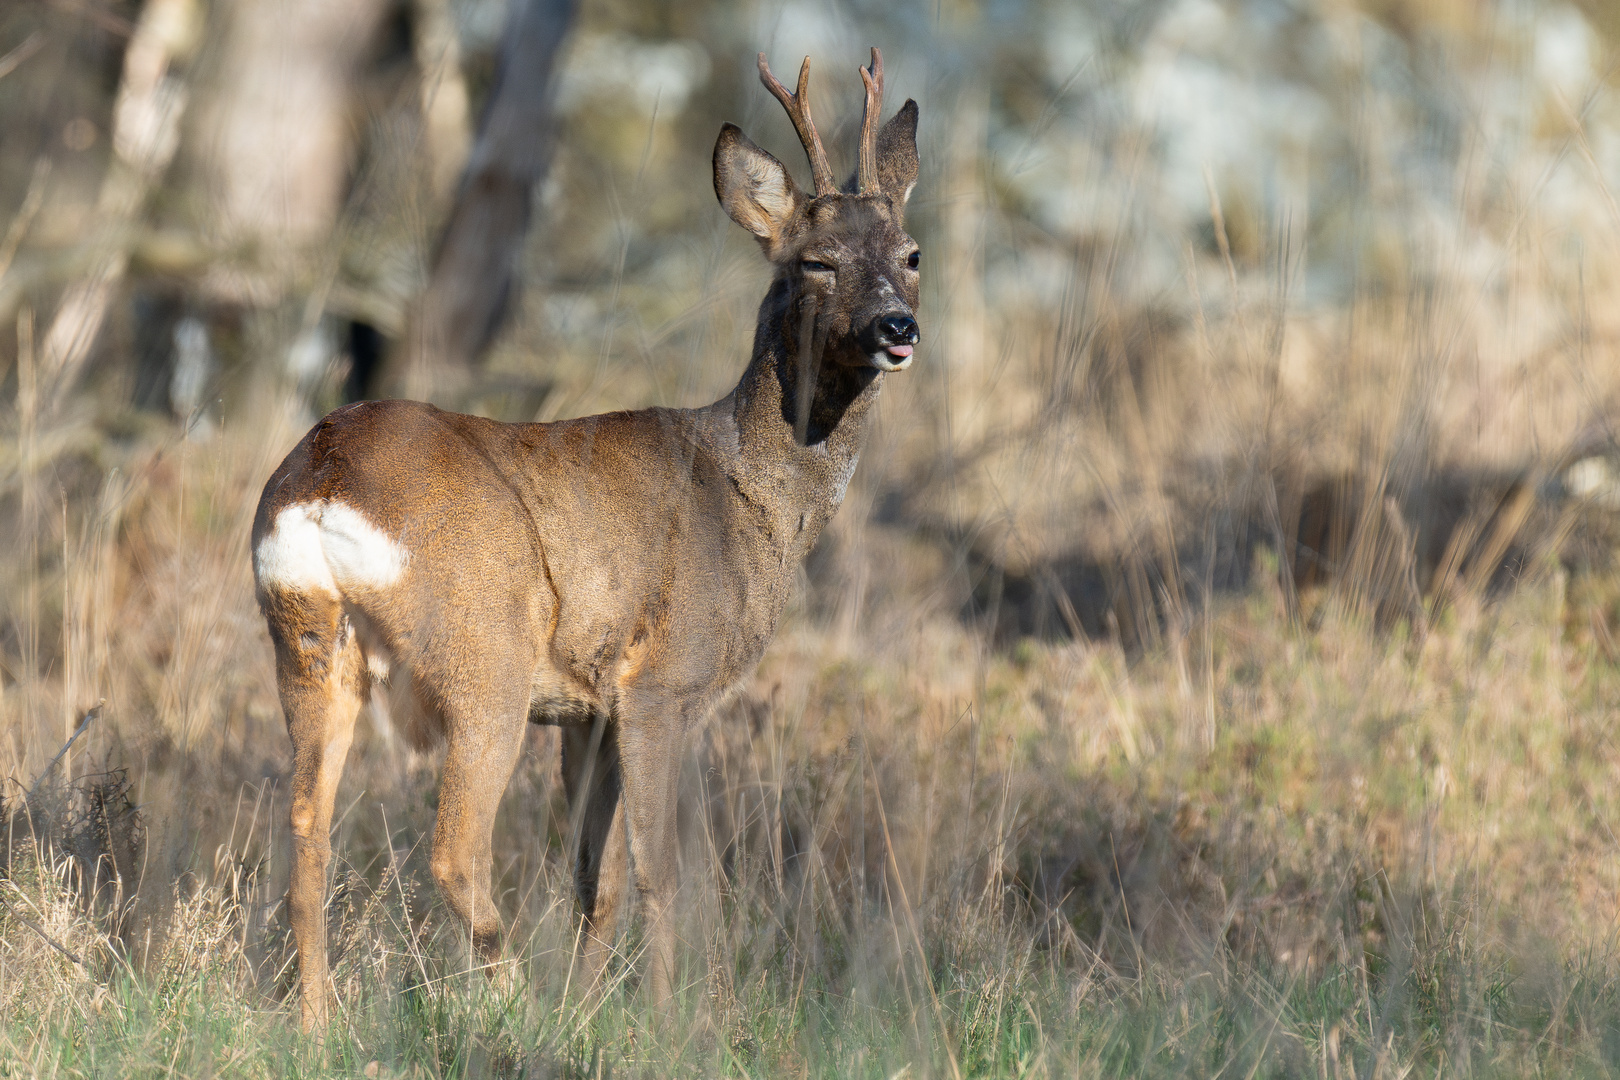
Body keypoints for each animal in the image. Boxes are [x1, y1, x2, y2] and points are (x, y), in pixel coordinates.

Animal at [249, 48, 913, 1029]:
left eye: (911, 254)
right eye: (818, 260)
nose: (899, 326)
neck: (749, 496)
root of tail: (320, 481)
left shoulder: (585, 711)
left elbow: (594, 882)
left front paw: (591, 1012)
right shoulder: (661, 683)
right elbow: (661, 872)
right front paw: (666, 1023)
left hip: (307, 643)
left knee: (305, 830)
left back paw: (319, 1027)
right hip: (481, 659)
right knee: (453, 851)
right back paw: (509, 1005)